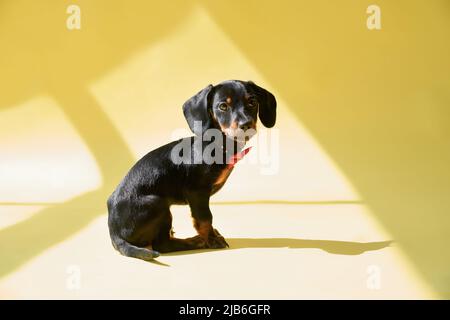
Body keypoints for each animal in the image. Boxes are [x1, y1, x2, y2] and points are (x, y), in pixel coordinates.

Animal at [107, 79, 276, 260]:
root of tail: (114, 234)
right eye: (223, 106)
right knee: (163, 245)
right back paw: (195, 241)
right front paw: (211, 239)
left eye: (252, 102)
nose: (246, 124)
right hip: (158, 204)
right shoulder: (197, 192)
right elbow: (205, 218)